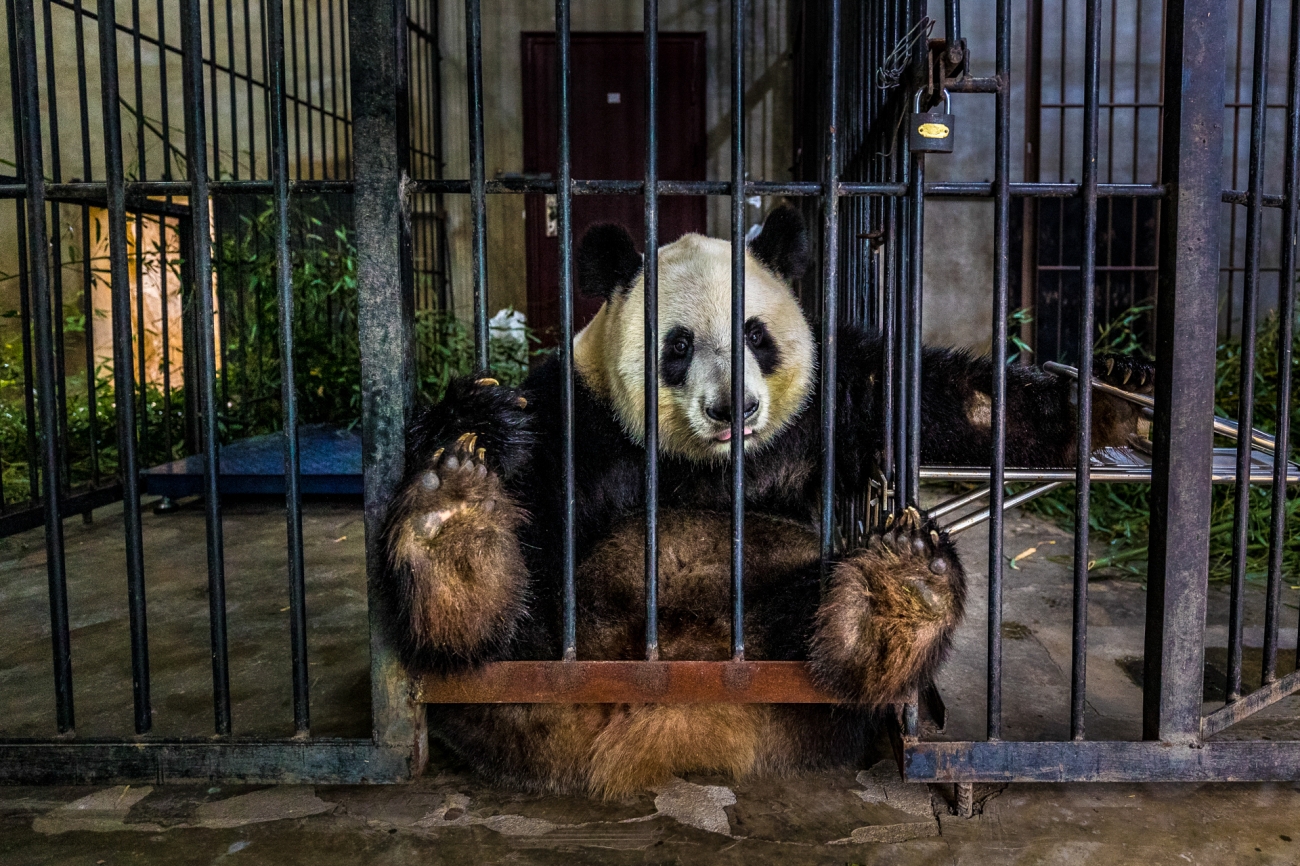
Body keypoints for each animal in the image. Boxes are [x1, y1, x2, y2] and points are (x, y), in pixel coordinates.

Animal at [379, 204, 1154, 795]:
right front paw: (479, 422)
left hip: (776, 632)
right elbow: (531, 468)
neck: (710, 461)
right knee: (506, 632)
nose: (735, 409)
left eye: (755, 334)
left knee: (819, 635)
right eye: (678, 345)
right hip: (557, 647)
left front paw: (1114, 399)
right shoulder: (584, 410)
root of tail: (673, 723)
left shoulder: (834, 397)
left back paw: (896, 601)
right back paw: (455, 544)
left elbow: (963, 408)